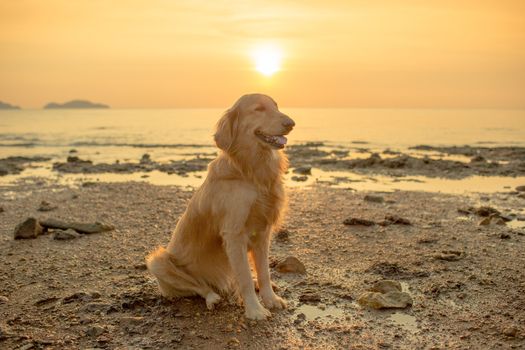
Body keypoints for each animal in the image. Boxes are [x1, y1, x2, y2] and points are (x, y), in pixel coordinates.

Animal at [145, 93, 294, 320]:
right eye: (259, 109)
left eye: (276, 106)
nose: (291, 123)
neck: (250, 171)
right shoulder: (234, 234)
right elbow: (244, 277)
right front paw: (255, 309)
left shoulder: (262, 231)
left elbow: (264, 272)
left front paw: (270, 299)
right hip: (158, 261)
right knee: (200, 286)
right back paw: (212, 297)